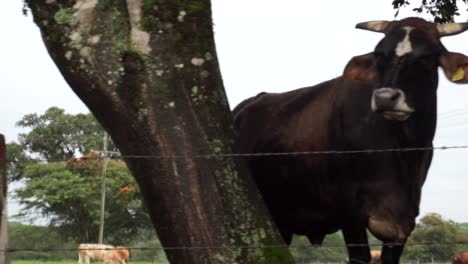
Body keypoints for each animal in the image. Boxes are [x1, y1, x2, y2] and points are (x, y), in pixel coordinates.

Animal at [233, 17, 468, 262]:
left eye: (426, 57)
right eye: (379, 55)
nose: (385, 98)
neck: (400, 150)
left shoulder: (405, 219)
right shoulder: (350, 212)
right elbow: (360, 256)